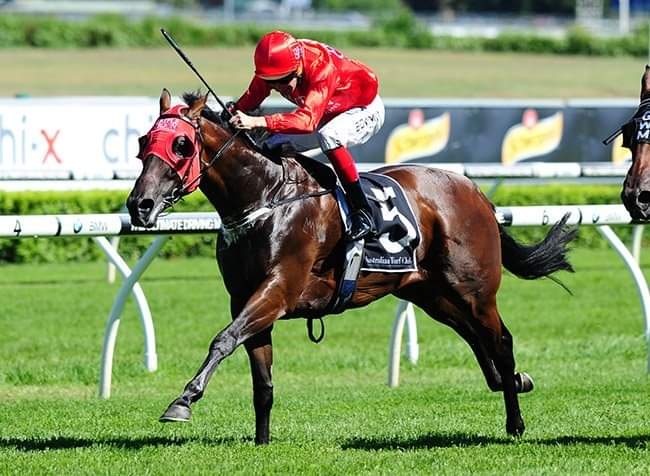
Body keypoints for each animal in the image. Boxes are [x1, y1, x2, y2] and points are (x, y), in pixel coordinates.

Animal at [126, 89, 576, 445]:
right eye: (144, 140)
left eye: (181, 144)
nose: (139, 205)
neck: (266, 197)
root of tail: (476, 192)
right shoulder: (246, 298)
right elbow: (261, 380)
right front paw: (261, 441)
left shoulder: (277, 290)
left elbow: (223, 340)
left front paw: (182, 401)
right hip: (431, 294)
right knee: (477, 341)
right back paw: (514, 381)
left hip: (474, 290)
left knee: (501, 343)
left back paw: (515, 422)